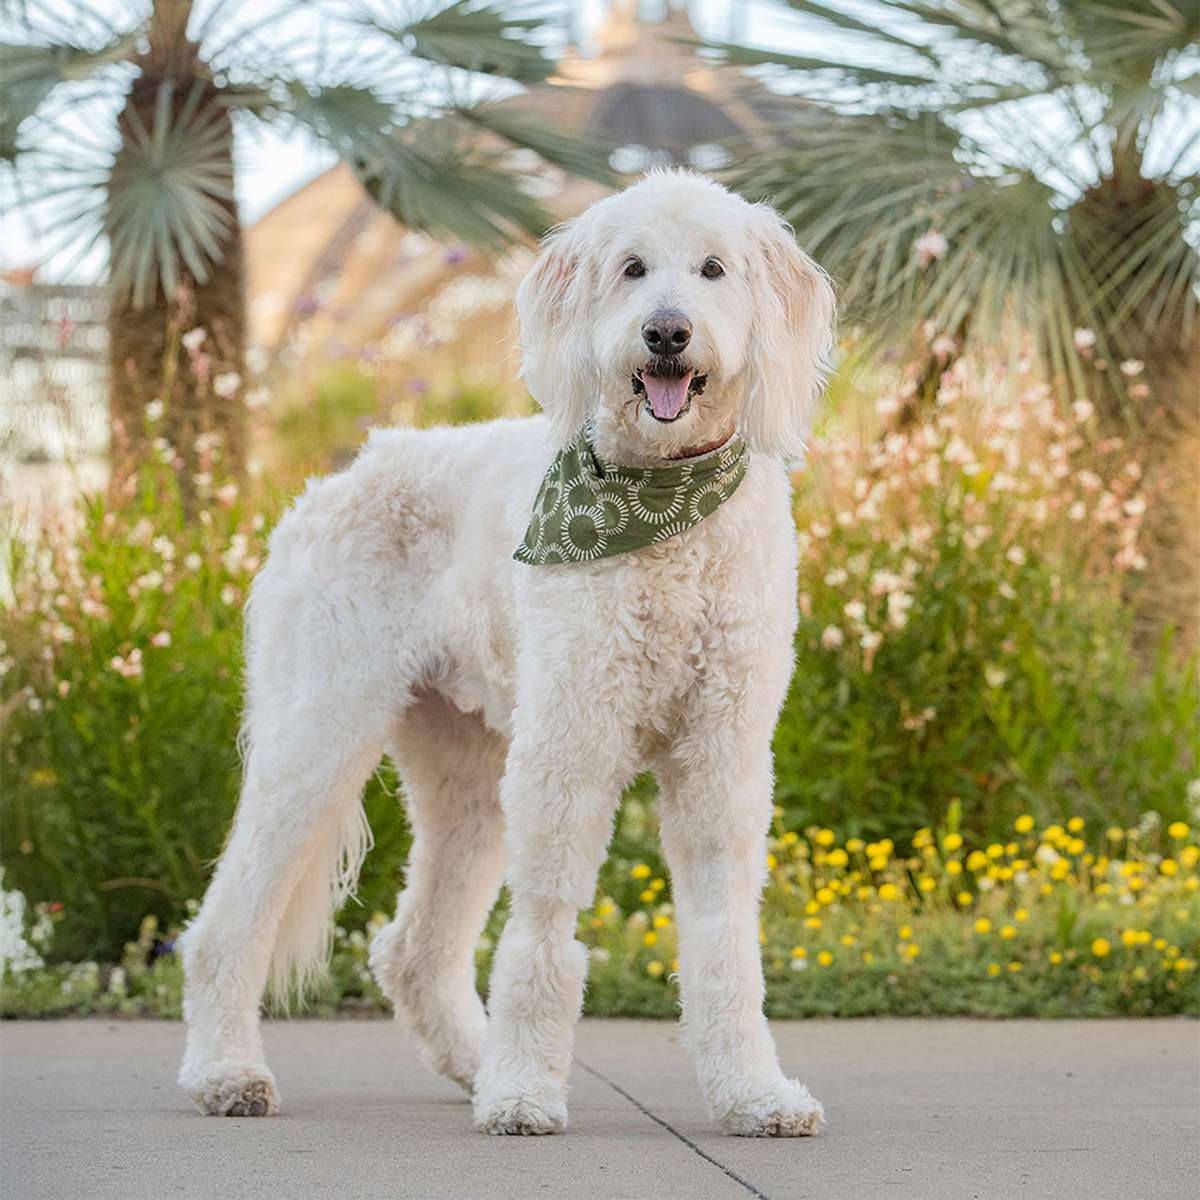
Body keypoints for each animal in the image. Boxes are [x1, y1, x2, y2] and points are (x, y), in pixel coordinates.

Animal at [179, 169, 836, 1136]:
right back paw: (227, 1073)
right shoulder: (569, 742)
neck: (664, 510)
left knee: (412, 949)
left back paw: (472, 1061)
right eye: (632, 268)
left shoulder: (721, 753)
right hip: (318, 734)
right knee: (227, 924)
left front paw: (754, 1093)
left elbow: (725, 944)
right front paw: (525, 1090)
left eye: (714, 269)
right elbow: (545, 933)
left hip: (465, 774)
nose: (667, 333)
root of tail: (335, 479)